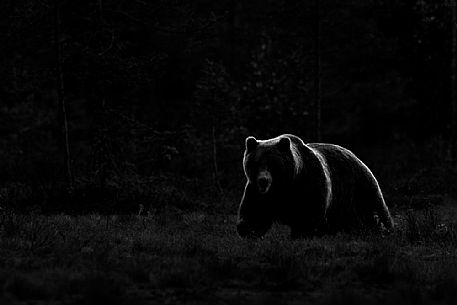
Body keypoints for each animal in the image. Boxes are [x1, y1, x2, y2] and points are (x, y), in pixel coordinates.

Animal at [235, 134, 392, 238]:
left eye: (273, 164)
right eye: (255, 163)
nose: (263, 180)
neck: (284, 186)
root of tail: (356, 156)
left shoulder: (309, 182)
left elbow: (308, 212)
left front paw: (300, 234)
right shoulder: (258, 192)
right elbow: (254, 212)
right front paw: (247, 229)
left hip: (359, 187)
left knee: (374, 211)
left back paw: (385, 229)